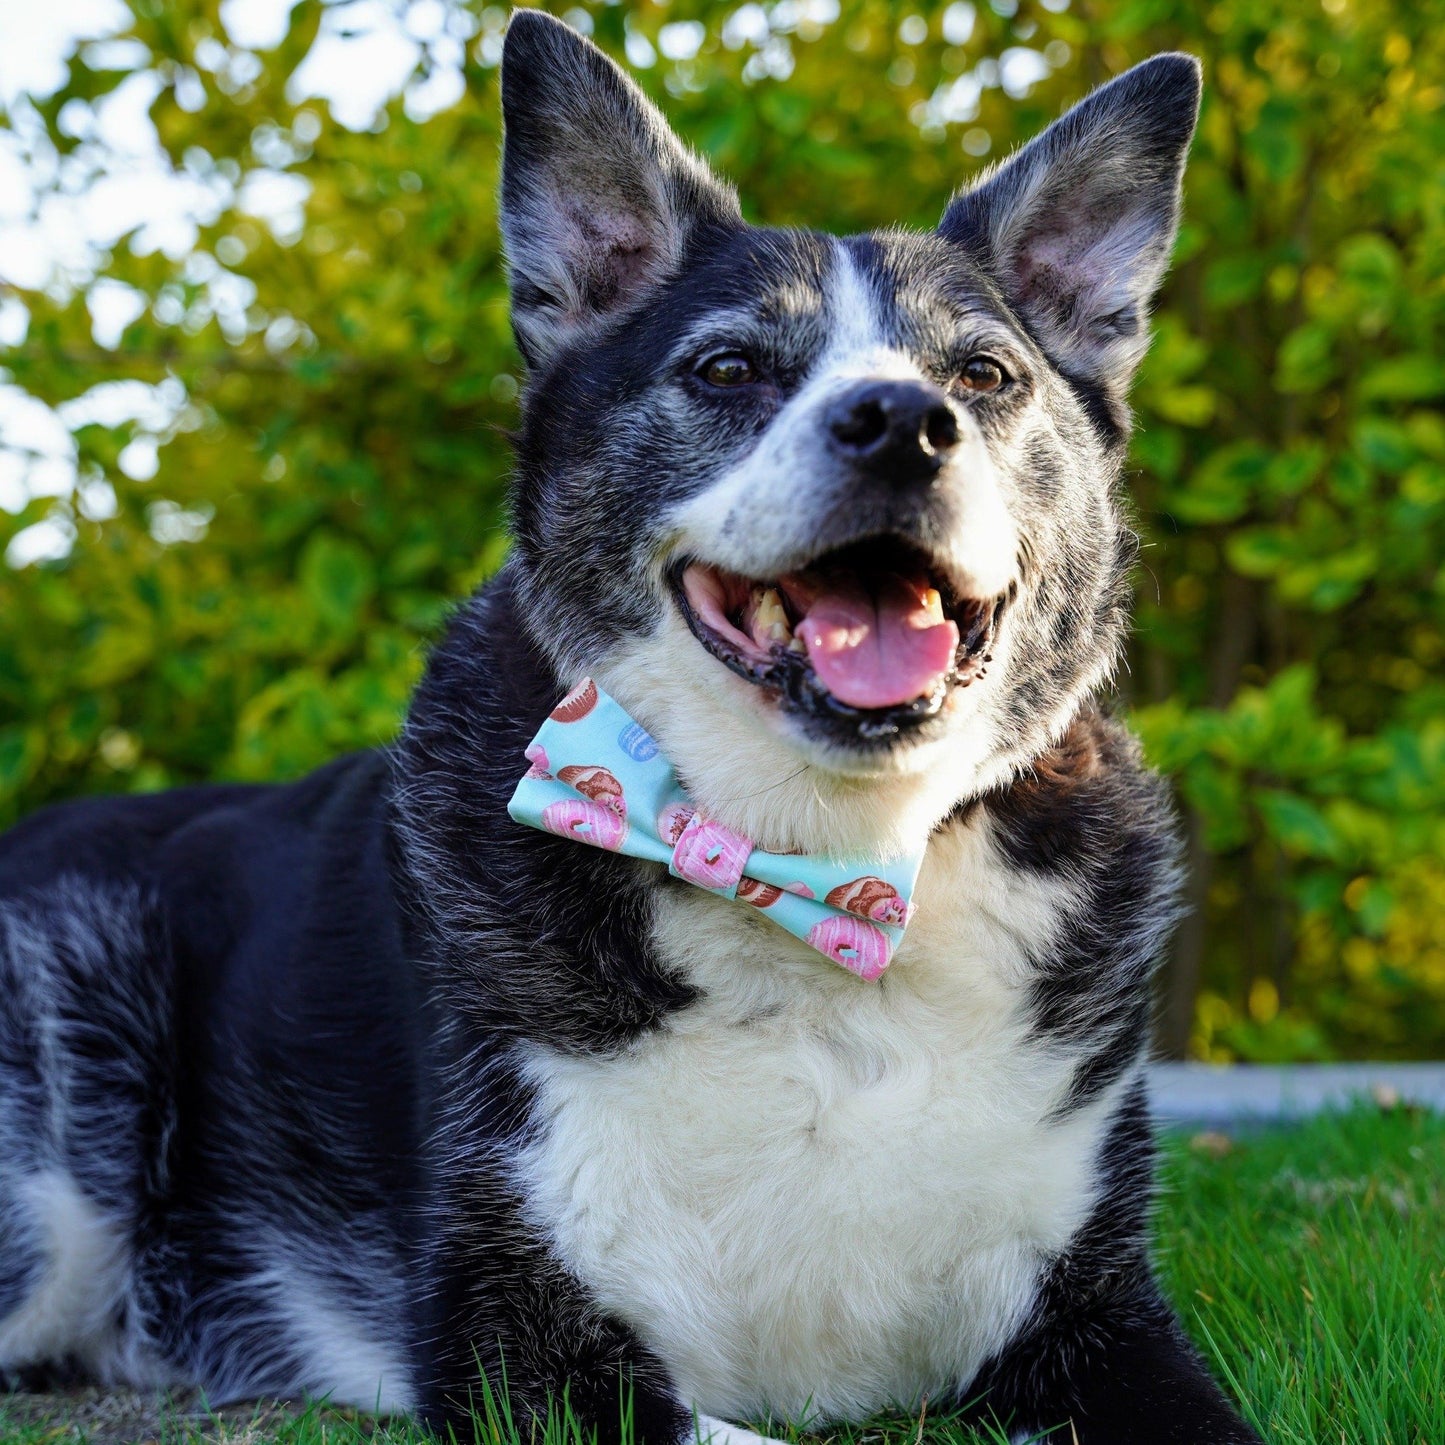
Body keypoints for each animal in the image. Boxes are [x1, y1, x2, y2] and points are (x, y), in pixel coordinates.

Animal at [0, 14, 1260, 1445]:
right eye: (726, 367)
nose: (902, 423)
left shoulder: (1097, 1308)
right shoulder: (520, 1344)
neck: (814, 864)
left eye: (982, 374)